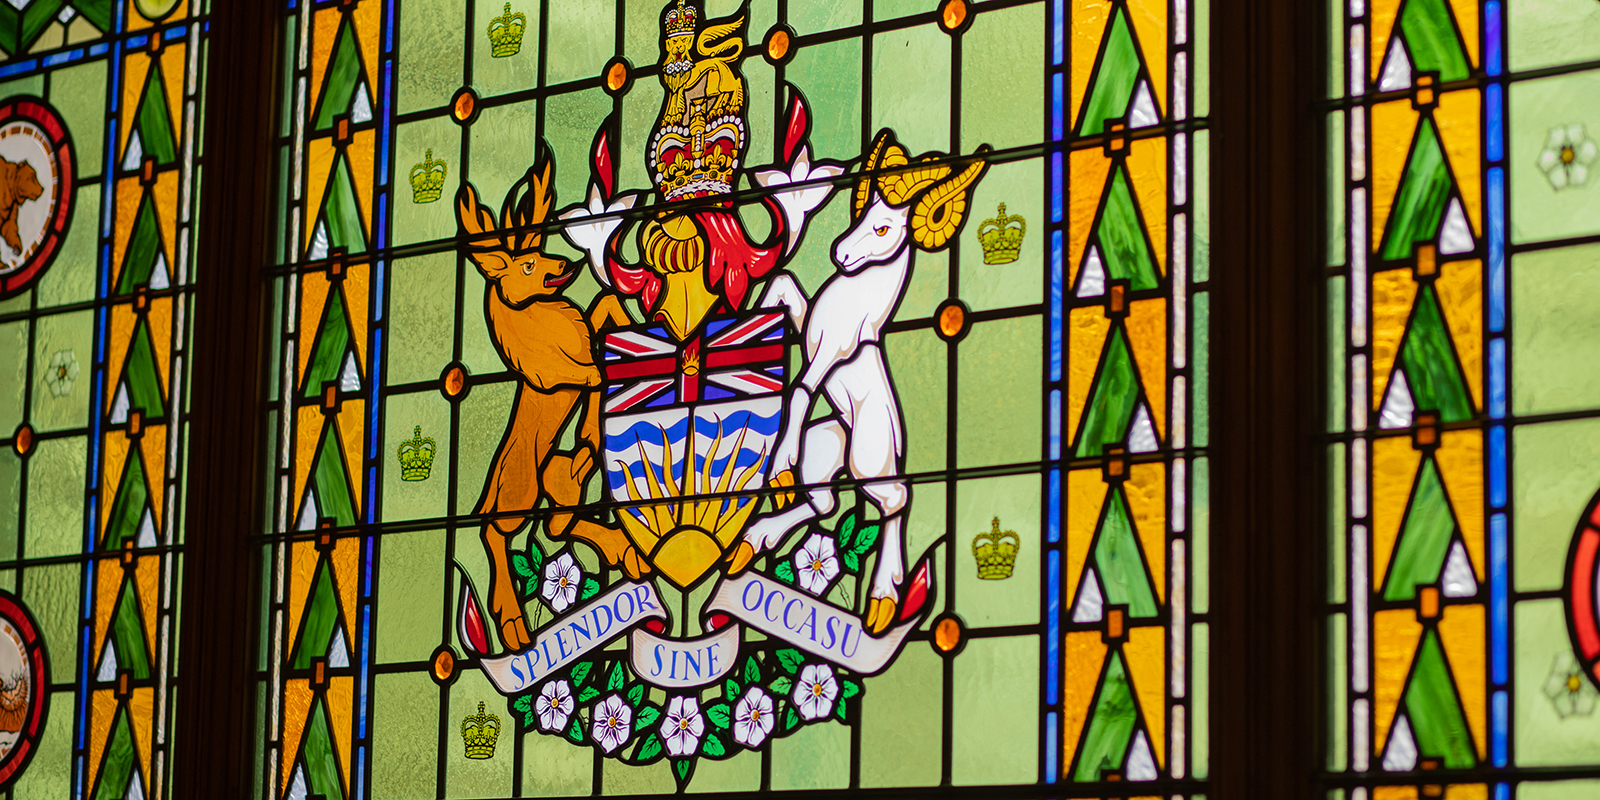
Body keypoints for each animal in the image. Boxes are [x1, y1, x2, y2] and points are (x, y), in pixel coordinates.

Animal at [732, 129, 985, 630]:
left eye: (884, 228)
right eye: (862, 215)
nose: (841, 253)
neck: (857, 292)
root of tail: (897, 442)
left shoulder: (832, 351)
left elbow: (803, 388)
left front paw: (780, 463)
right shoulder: (810, 328)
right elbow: (783, 287)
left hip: (868, 462)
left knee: (895, 497)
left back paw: (884, 596)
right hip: (828, 450)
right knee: (826, 502)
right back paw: (756, 538)